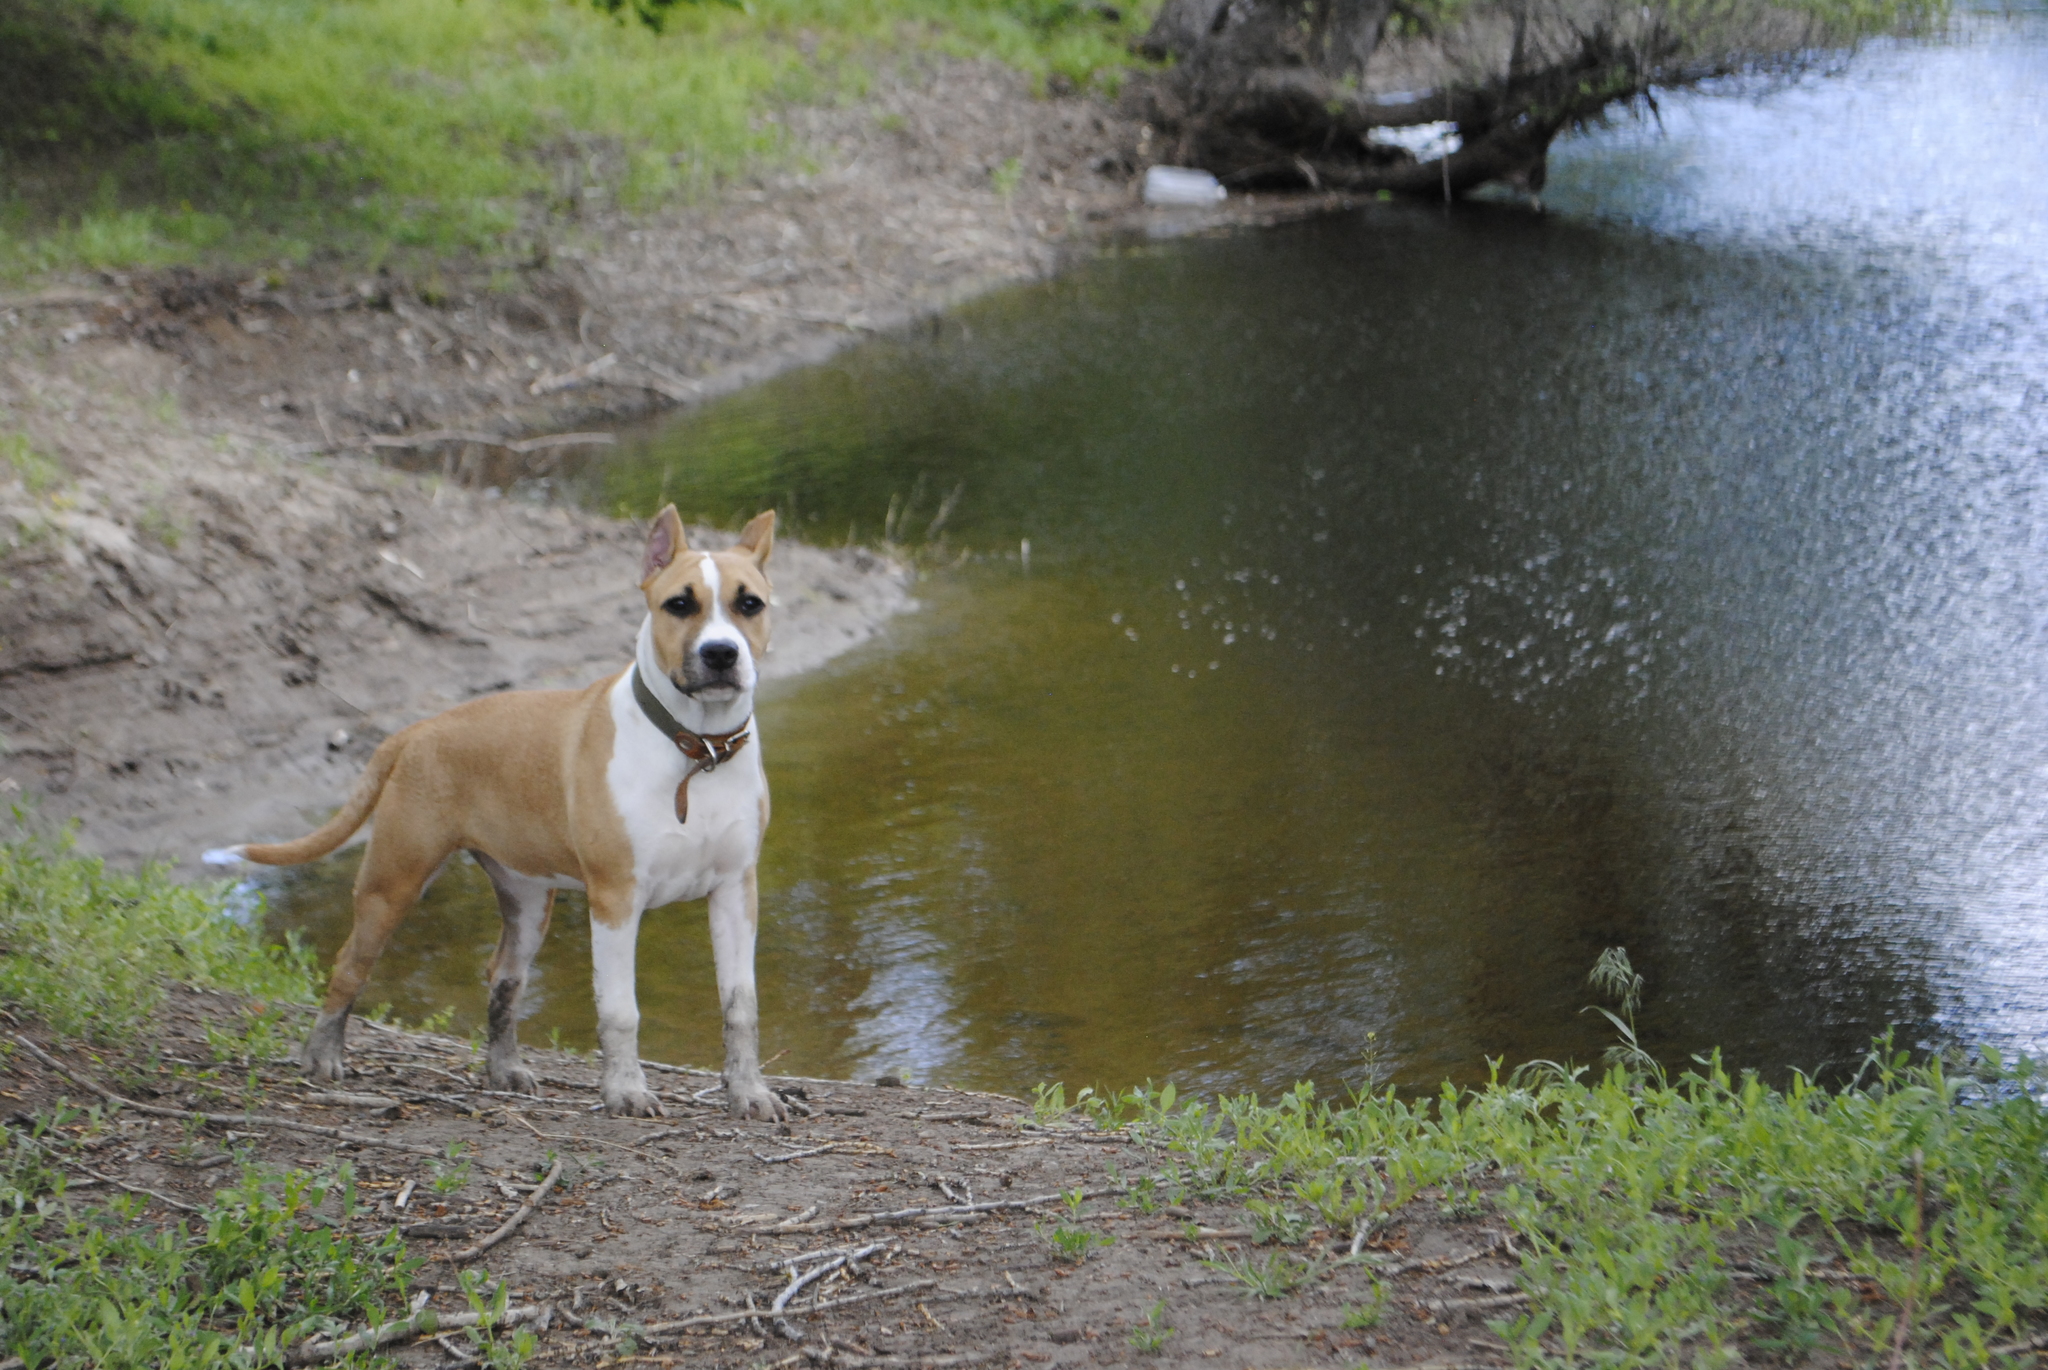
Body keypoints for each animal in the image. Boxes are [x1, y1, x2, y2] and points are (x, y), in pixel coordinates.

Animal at [201, 507, 790, 1114]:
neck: (697, 751)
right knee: (349, 965)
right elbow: (620, 1010)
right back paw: (322, 1056)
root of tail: (417, 730)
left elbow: (741, 1005)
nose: (721, 653)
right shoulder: (616, 897)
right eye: (679, 604)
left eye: (750, 604)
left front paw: (749, 1093)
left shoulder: (735, 891)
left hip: (527, 899)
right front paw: (626, 1090)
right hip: (393, 881)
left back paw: (504, 1068)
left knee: (504, 977)